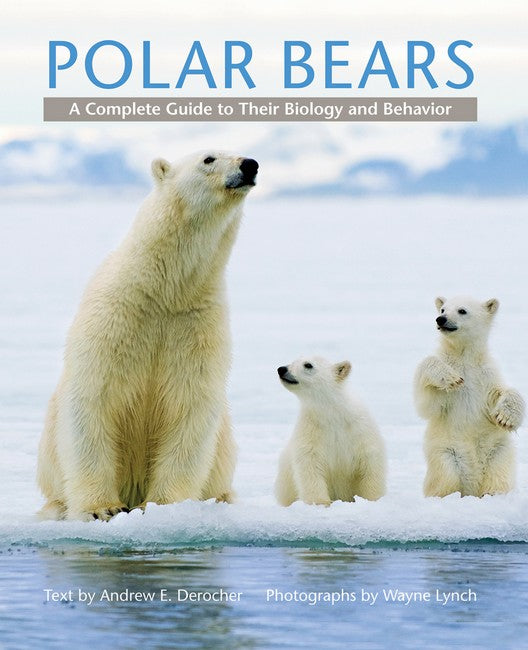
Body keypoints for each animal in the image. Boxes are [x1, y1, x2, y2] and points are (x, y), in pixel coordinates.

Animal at [37, 151, 259, 521]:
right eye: (209, 158)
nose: (250, 165)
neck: (166, 291)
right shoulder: (115, 317)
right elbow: (93, 399)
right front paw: (102, 508)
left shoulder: (197, 327)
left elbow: (190, 408)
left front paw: (162, 505)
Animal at [274, 356, 386, 506]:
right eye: (293, 361)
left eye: (308, 365)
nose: (282, 369)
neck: (332, 413)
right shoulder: (311, 430)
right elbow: (310, 464)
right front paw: (321, 502)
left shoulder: (360, 429)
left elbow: (370, 461)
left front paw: (372, 499)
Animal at [414, 296, 525, 498]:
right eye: (442, 309)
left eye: (462, 310)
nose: (440, 320)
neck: (464, 357)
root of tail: (472, 487)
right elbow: (429, 404)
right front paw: (449, 376)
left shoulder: (486, 377)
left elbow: (503, 393)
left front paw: (506, 417)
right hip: (446, 453)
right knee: (445, 476)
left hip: (497, 451)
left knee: (499, 474)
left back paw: (493, 494)